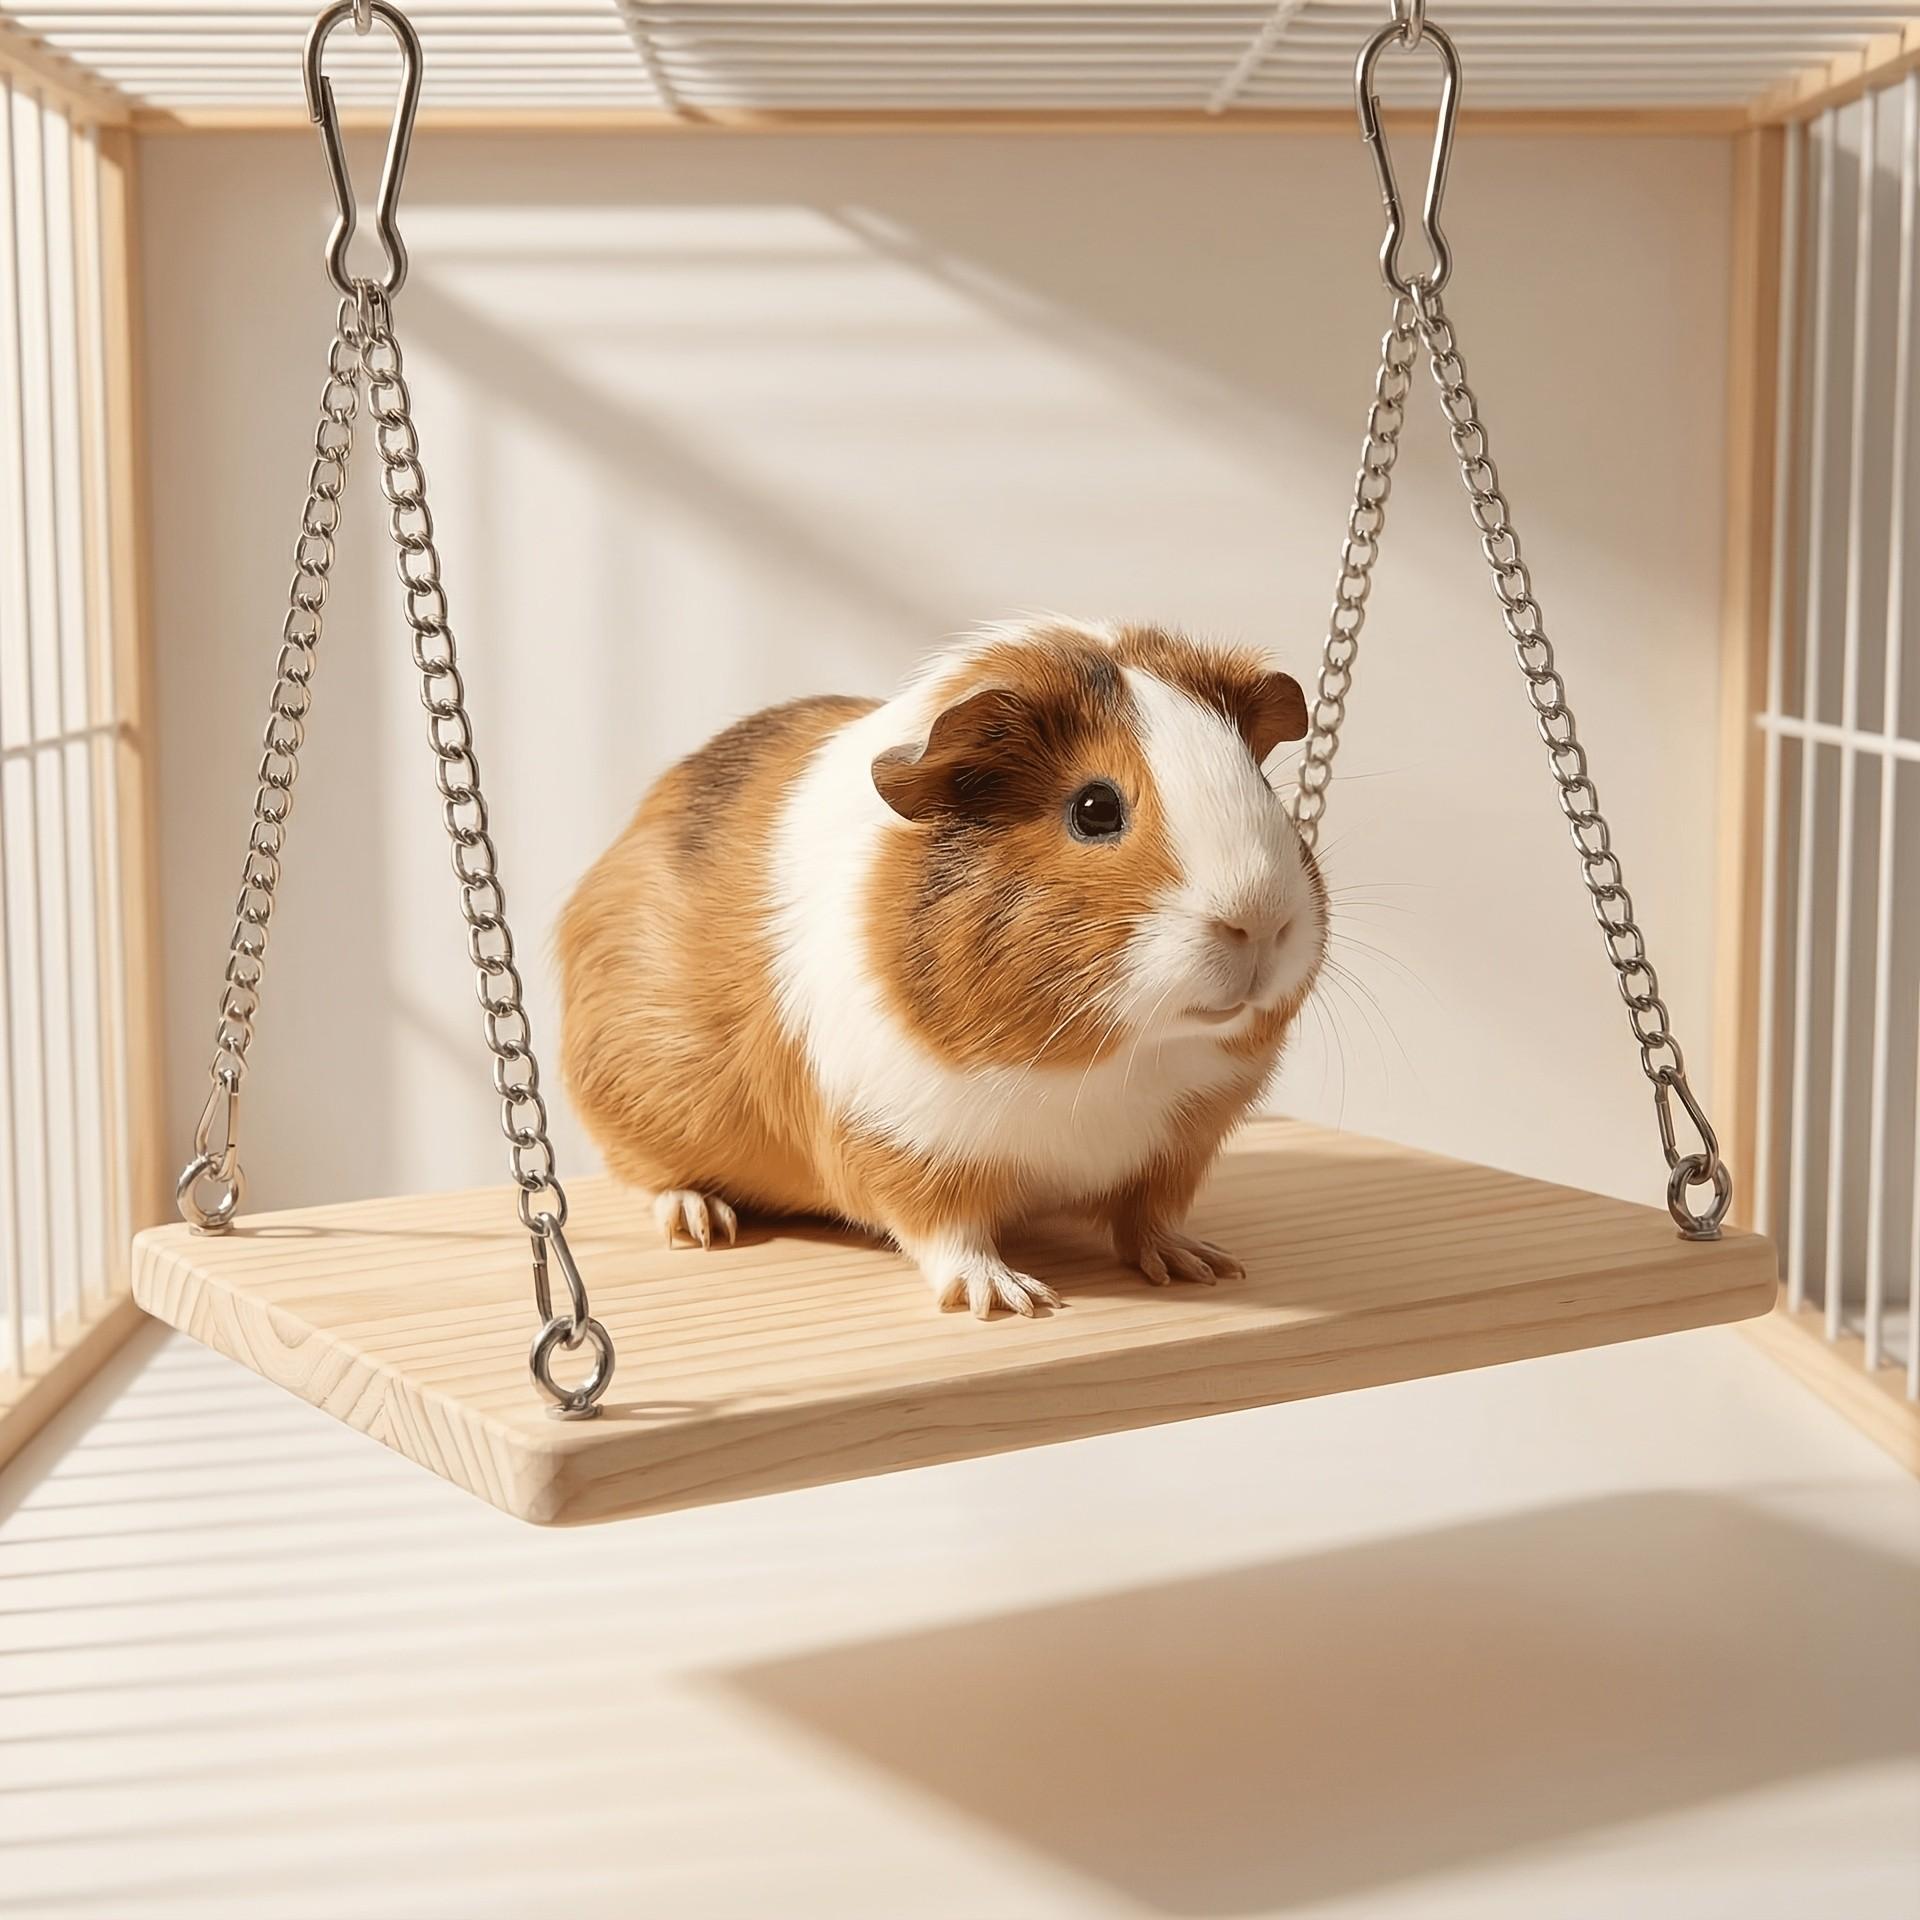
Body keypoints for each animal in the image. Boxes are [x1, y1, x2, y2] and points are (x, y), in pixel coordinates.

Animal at [558, 617, 1327, 1317]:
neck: (1108, 1059)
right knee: (648, 1177)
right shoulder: (900, 1137)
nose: (1261, 921)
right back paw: (700, 1221)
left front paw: (1201, 1266)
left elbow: (1151, 1215)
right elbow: (945, 1230)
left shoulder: (1179, 1144)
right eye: (1095, 808)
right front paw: (1011, 1300)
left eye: (1260, 784)